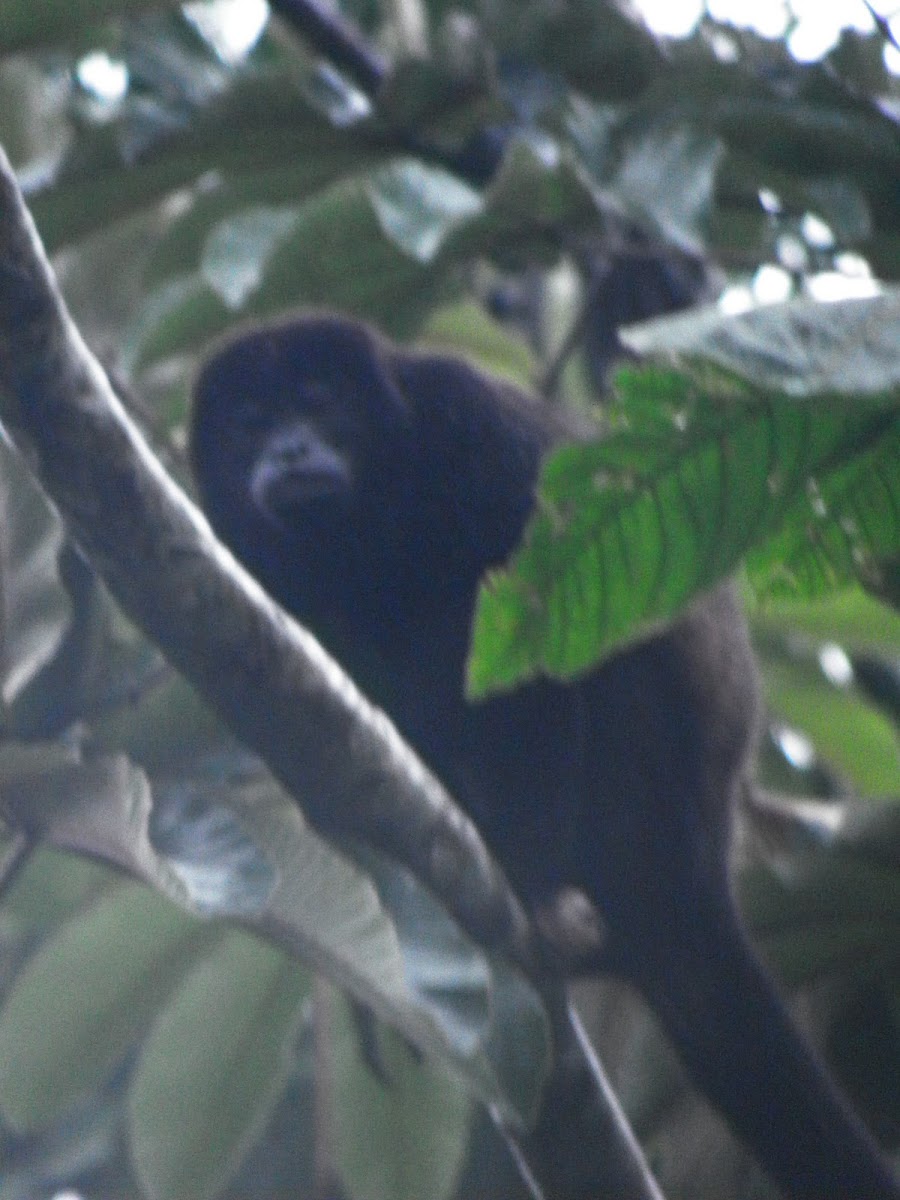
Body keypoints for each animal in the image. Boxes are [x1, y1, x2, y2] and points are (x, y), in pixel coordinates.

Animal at [190, 314, 900, 1195]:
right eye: (249, 424)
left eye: (319, 402)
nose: (288, 450)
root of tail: (701, 859)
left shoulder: (471, 425)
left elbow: (534, 637)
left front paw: (521, 869)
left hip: (642, 769)